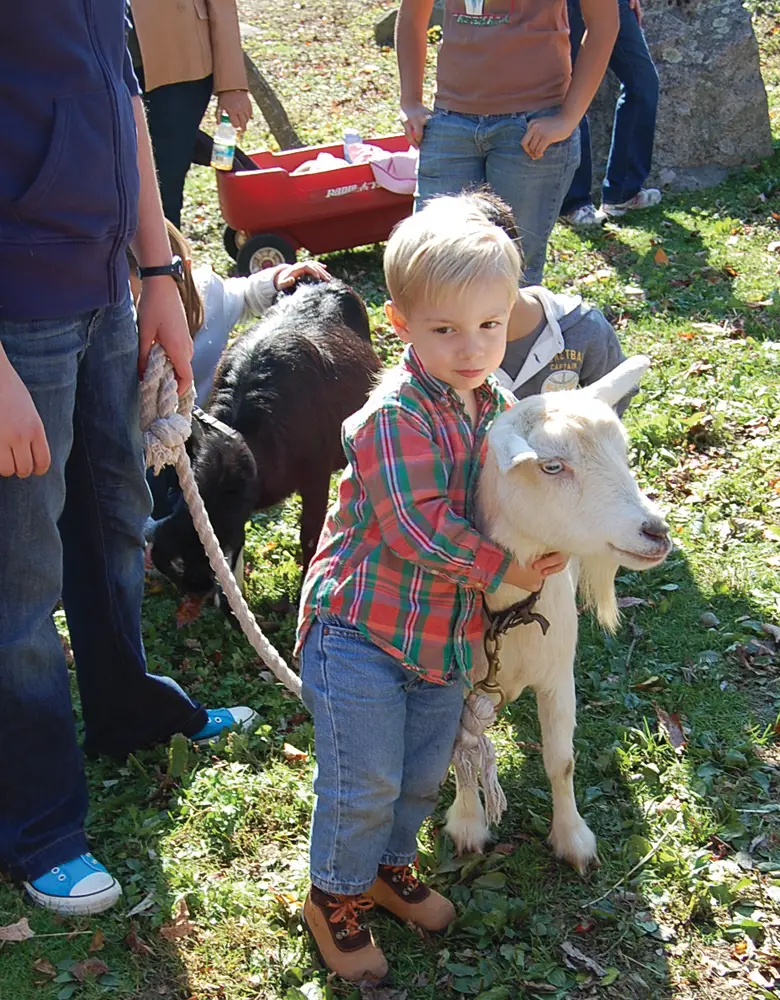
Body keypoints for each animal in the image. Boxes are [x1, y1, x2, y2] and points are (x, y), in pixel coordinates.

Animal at [448, 356, 672, 872]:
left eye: (624, 452)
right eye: (551, 466)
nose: (655, 532)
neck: (508, 616)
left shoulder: (557, 675)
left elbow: (561, 761)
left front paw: (573, 838)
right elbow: (460, 754)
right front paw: (467, 823)